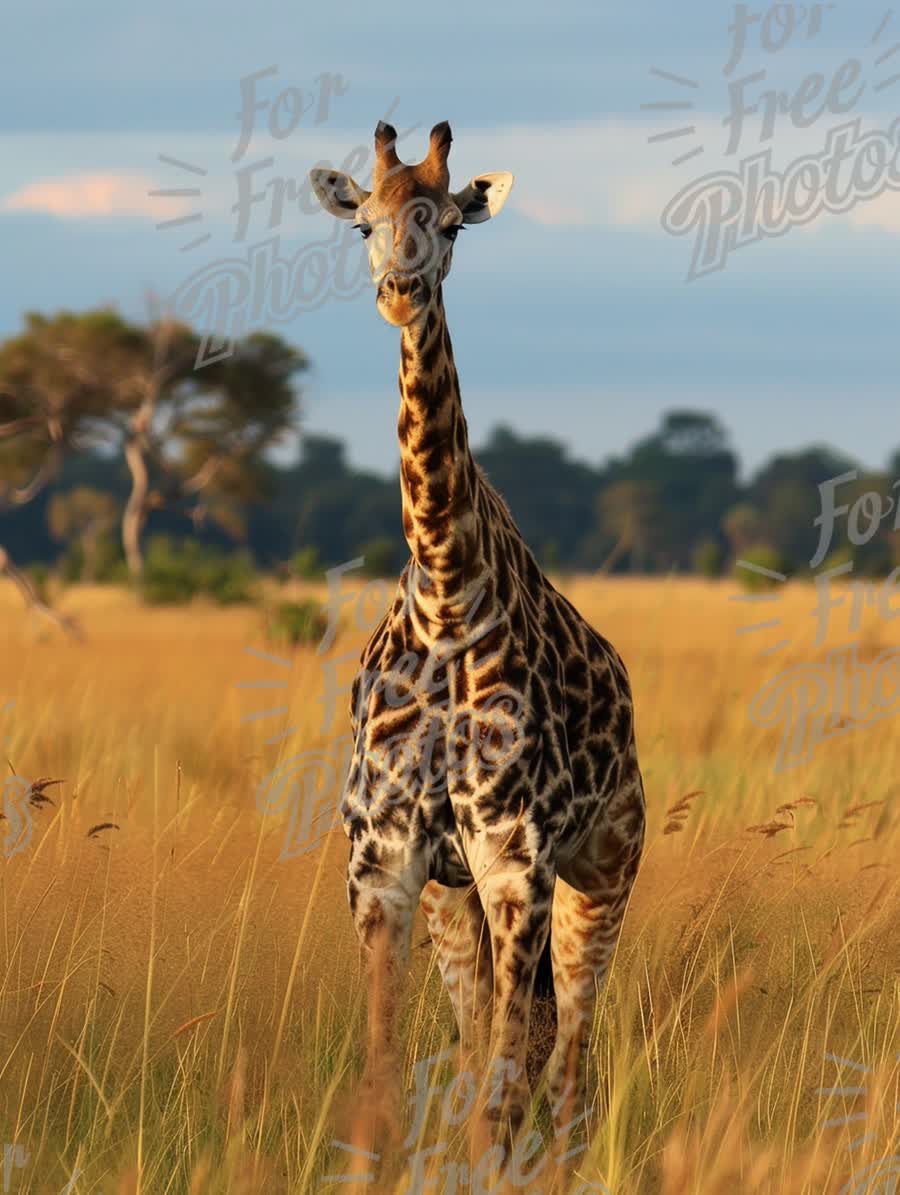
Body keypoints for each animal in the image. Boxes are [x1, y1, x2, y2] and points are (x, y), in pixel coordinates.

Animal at [305, 123, 640, 1175]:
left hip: (604, 873)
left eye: (450, 222)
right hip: (457, 905)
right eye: (363, 222)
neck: (450, 600)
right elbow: (384, 1085)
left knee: (564, 1064)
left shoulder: (515, 862)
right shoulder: (385, 866)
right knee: (487, 1046)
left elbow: (505, 1095)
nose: (399, 290)